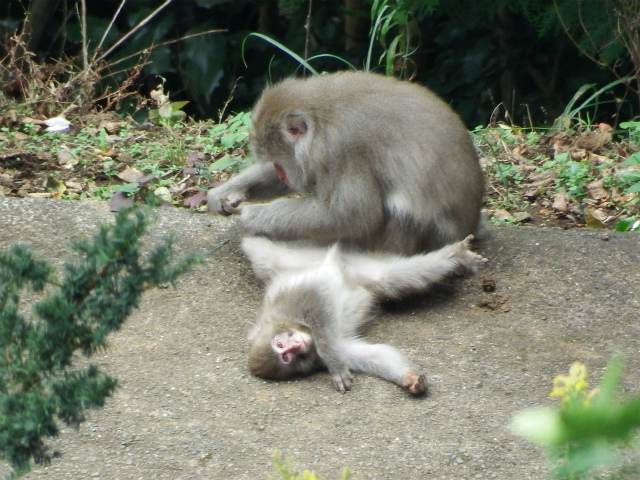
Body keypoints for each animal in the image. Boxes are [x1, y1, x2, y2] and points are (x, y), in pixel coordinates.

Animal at [208, 71, 482, 255]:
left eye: (278, 161)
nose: (282, 173)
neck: (321, 116)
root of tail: (470, 228)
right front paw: (226, 192)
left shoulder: (343, 148)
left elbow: (353, 215)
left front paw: (252, 215)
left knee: (400, 211)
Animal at [242, 233, 488, 394]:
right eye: (285, 357)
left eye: (281, 345)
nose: (295, 346)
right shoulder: (318, 356)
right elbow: (373, 356)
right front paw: (408, 379)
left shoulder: (292, 304)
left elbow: (317, 294)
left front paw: (336, 367)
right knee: (390, 279)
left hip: (338, 263)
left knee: (387, 276)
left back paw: (457, 254)